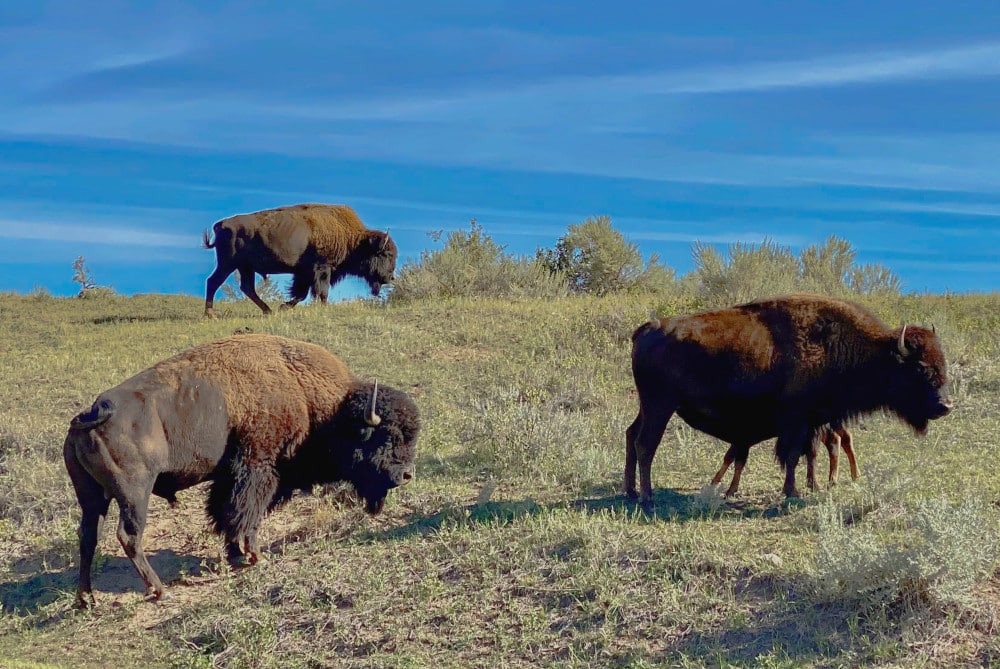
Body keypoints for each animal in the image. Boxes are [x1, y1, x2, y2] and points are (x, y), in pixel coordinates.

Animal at [63, 334, 419, 607]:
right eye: (387, 436)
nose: (406, 475)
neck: (305, 391)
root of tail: (95, 412)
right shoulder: (259, 468)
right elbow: (247, 512)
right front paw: (254, 555)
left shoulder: (228, 477)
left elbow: (226, 513)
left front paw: (234, 553)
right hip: (135, 493)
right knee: (129, 535)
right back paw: (158, 590)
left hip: (92, 497)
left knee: (88, 537)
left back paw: (86, 600)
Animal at [203, 203, 397, 317]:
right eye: (386, 254)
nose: (390, 278)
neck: (352, 239)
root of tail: (220, 225)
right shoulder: (322, 268)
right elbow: (321, 291)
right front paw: (323, 308)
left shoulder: (305, 273)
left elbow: (302, 293)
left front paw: (283, 307)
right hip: (228, 264)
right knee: (213, 282)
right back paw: (210, 314)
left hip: (244, 267)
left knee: (247, 287)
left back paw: (269, 311)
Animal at [626, 294, 951, 508]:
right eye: (921, 368)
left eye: (942, 364)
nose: (945, 406)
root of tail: (647, 328)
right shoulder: (796, 420)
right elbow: (793, 455)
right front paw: (792, 491)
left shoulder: (814, 422)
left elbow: (811, 454)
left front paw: (814, 486)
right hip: (660, 407)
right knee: (646, 444)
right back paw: (648, 497)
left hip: (647, 406)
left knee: (631, 435)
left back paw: (630, 492)